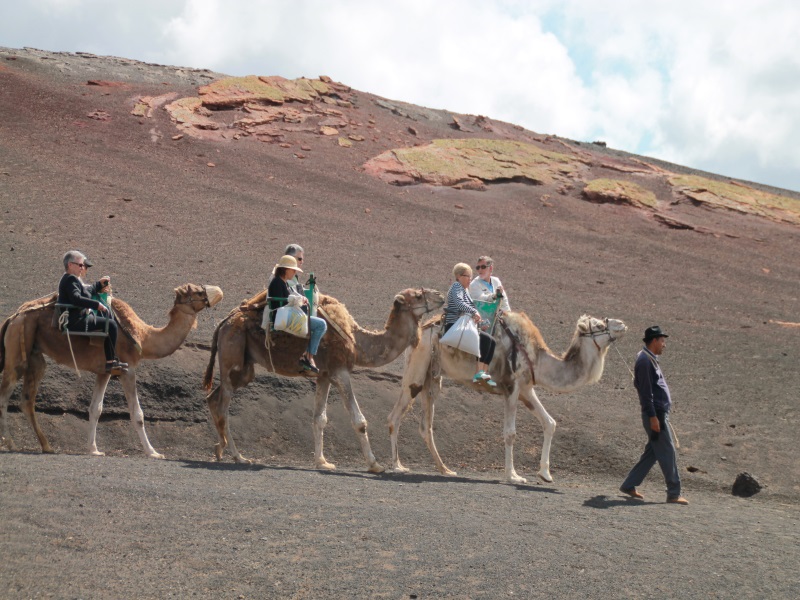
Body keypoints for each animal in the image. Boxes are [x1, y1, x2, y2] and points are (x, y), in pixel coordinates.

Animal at [0, 284, 224, 458]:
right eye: (197, 291)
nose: (219, 291)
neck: (143, 336)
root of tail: (13, 317)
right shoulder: (127, 369)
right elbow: (137, 414)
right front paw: (153, 452)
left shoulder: (105, 371)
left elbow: (95, 409)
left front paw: (94, 449)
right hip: (18, 344)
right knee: (6, 393)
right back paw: (11, 443)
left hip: (34, 355)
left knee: (27, 400)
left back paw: (46, 446)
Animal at [203, 287, 444, 471]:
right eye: (418, 295)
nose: (441, 295)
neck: (356, 342)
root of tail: (223, 323)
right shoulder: (340, 371)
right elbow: (359, 420)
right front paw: (375, 465)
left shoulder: (324, 376)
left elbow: (319, 418)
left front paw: (322, 462)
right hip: (232, 353)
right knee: (223, 405)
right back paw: (238, 456)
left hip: (245, 367)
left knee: (213, 398)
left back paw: (220, 449)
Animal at [387, 312, 627, 483]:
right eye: (599, 325)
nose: (622, 324)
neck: (537, 358)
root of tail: (423, 329)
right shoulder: (512, 386)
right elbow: (510, 433)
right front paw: (513, 475)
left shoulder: (526, 389)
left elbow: (550, 422)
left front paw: (545, 474)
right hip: (418, 369)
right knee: (395, 415)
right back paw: (397, 465)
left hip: (433, 377)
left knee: (425, 425)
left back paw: (445, 469)